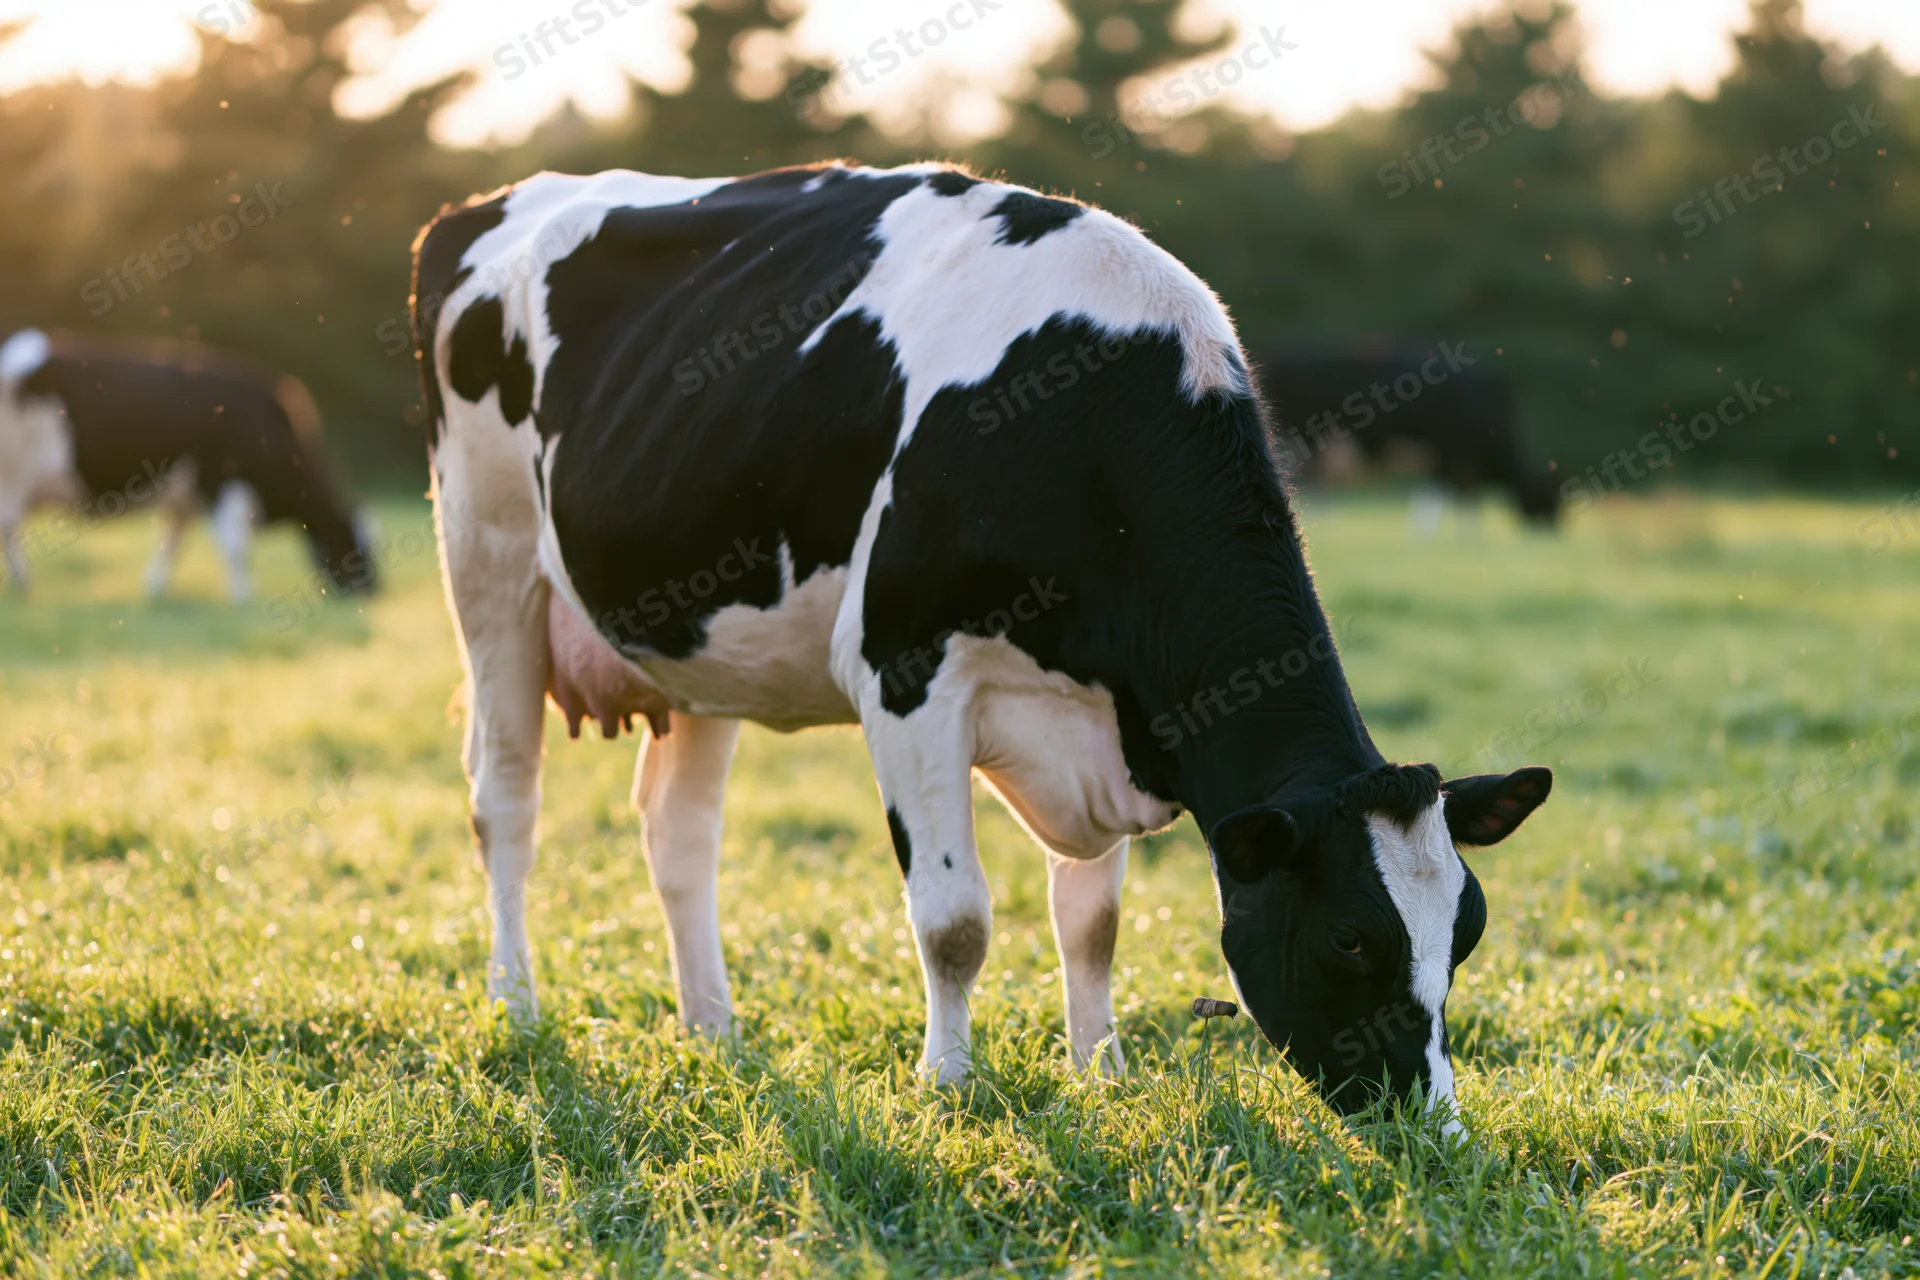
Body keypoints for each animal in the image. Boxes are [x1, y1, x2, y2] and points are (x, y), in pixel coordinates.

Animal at [0, 329, 374, 600]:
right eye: (354, 546)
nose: (374, 590)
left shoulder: (186, 496)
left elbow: (172, 543)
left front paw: (155, 588)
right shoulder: (222, 481)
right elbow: (236, 548)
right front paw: (244, 598)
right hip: (12, 477)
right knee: (9, 529)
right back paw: (23, 585)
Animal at [1255, 346, 1560, 527]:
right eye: (1548, 496)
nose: (1551, 527)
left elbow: (1463, 492)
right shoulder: (1449, 446)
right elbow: (1445, 489)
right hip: (1307, 436)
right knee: (1312, 480)